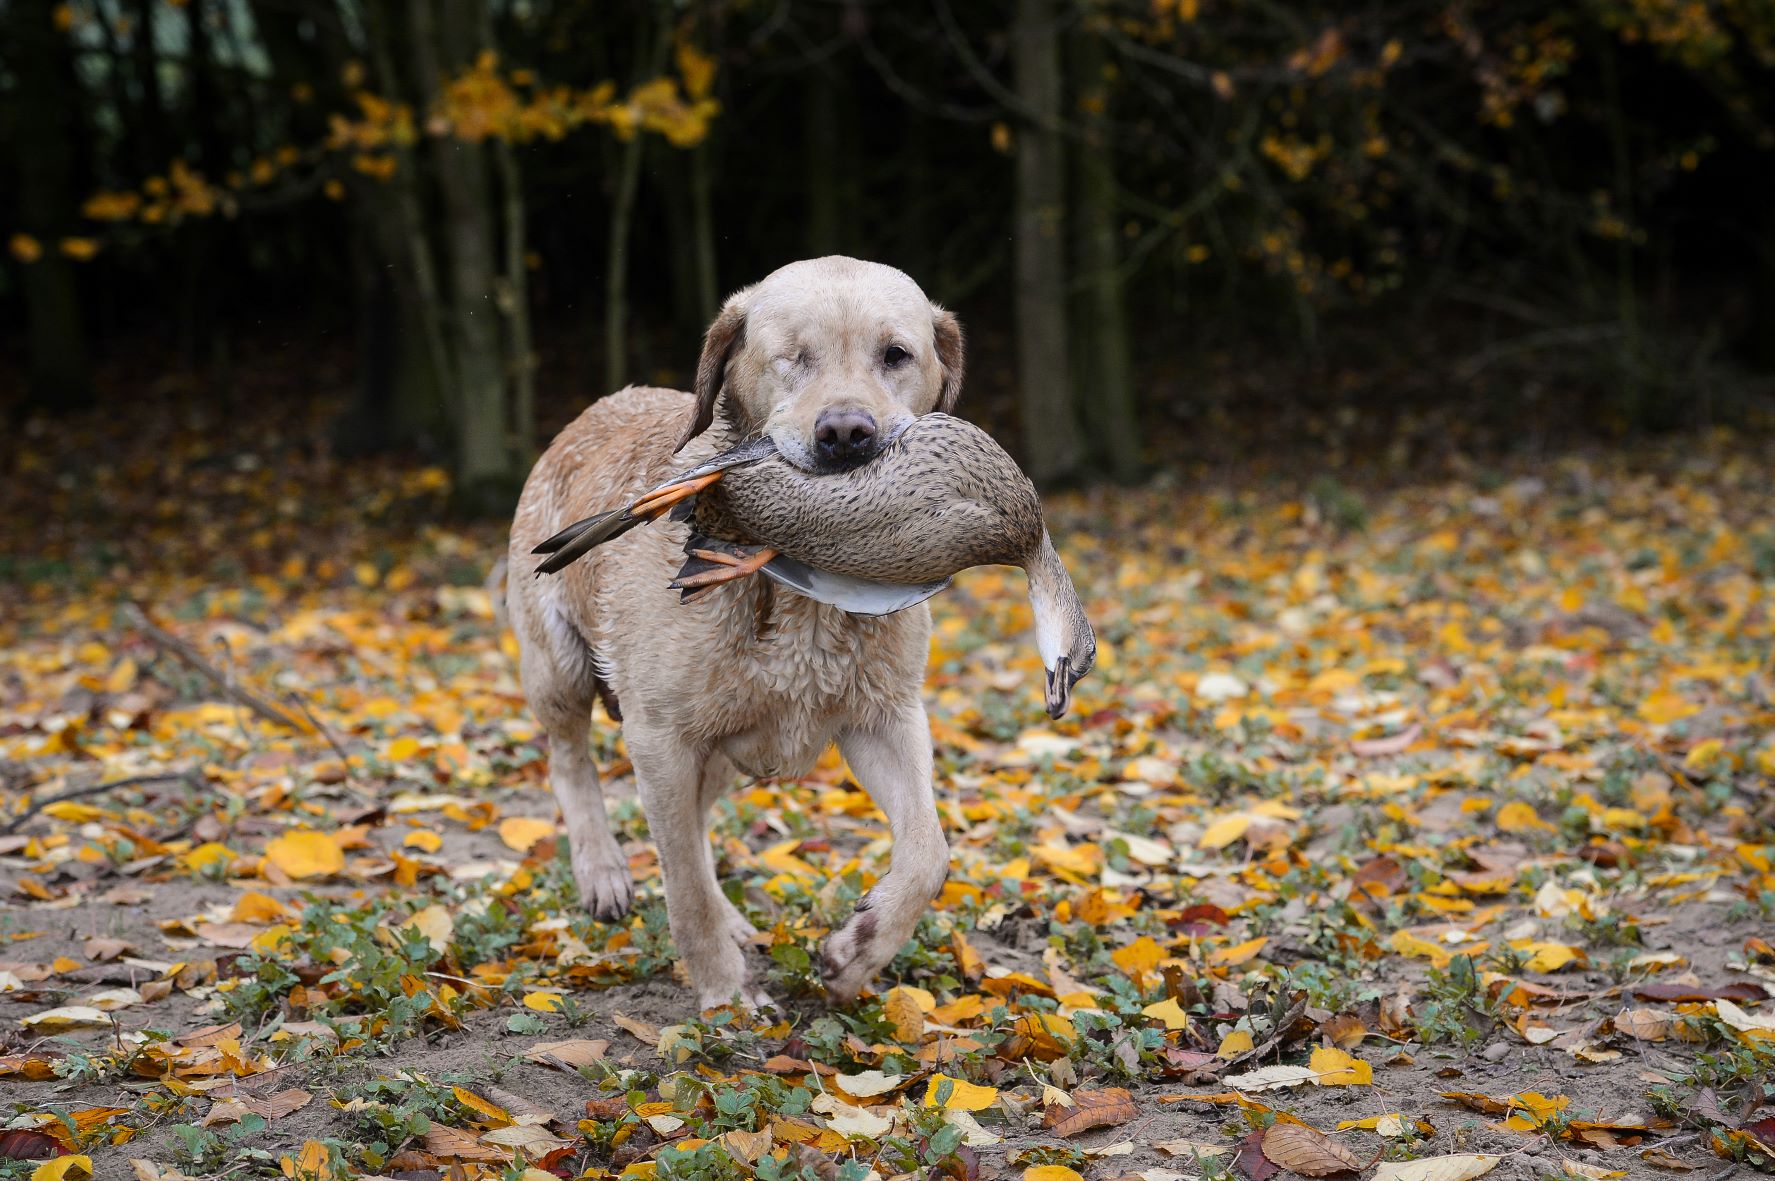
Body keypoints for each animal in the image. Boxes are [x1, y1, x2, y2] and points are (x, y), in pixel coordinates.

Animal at [500, 255, 972, 1001]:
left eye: (895, 354)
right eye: (793, 356)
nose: (846, 434)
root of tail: (593, 409)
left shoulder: (886, 718)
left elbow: (928, 851)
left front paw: (856, 951)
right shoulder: (659, 736)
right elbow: (684, 886)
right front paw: (724, 993)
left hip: (721, 750)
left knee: (691, 825)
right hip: (562, 670)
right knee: (572, 763)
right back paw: (602, 870)